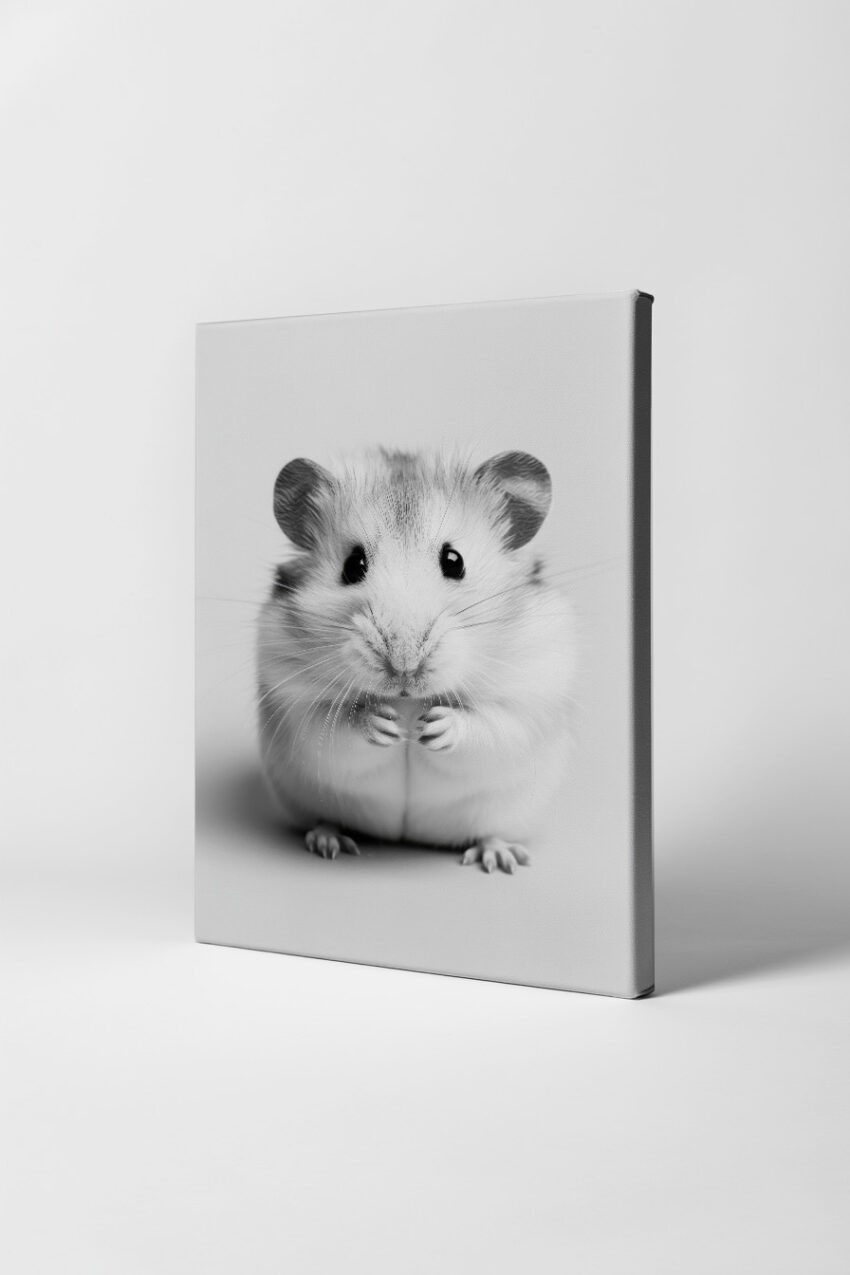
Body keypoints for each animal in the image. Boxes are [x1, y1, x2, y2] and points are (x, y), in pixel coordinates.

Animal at [256, 447, 578, 873]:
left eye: (454, 561)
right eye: (352, 565)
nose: (404, 666)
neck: (408, 702)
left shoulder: (531, 694)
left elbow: (492, 726)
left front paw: (434, 726)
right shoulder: (291, 699)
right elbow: (332, 727)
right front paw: (384, 724)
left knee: (491, 830)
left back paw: (500, 858)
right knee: (323, 817)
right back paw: (328, 841)